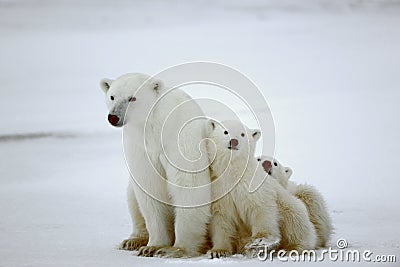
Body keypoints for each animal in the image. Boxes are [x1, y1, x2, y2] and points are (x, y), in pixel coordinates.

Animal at [100, 73, 211, 258]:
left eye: (132, 97)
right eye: (112, 96)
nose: (113, 117)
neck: (155, 128)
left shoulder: (181, 140)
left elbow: (188, 185)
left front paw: (176, 249)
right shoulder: (141, 148)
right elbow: (150, 187)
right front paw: (152, 247)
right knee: (132, 196)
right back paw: (132, 241)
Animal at [206, 120, 316, 258]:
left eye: (242, 134)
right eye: (225, 131)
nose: (234, 141)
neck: (234, 174)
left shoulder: (254, 185)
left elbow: (261, 208)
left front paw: (259, 241)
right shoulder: (219, 189)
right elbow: (221, 219)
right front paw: (218, 251)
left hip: (289, 204)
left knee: (294, 220)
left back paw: (291, 248)